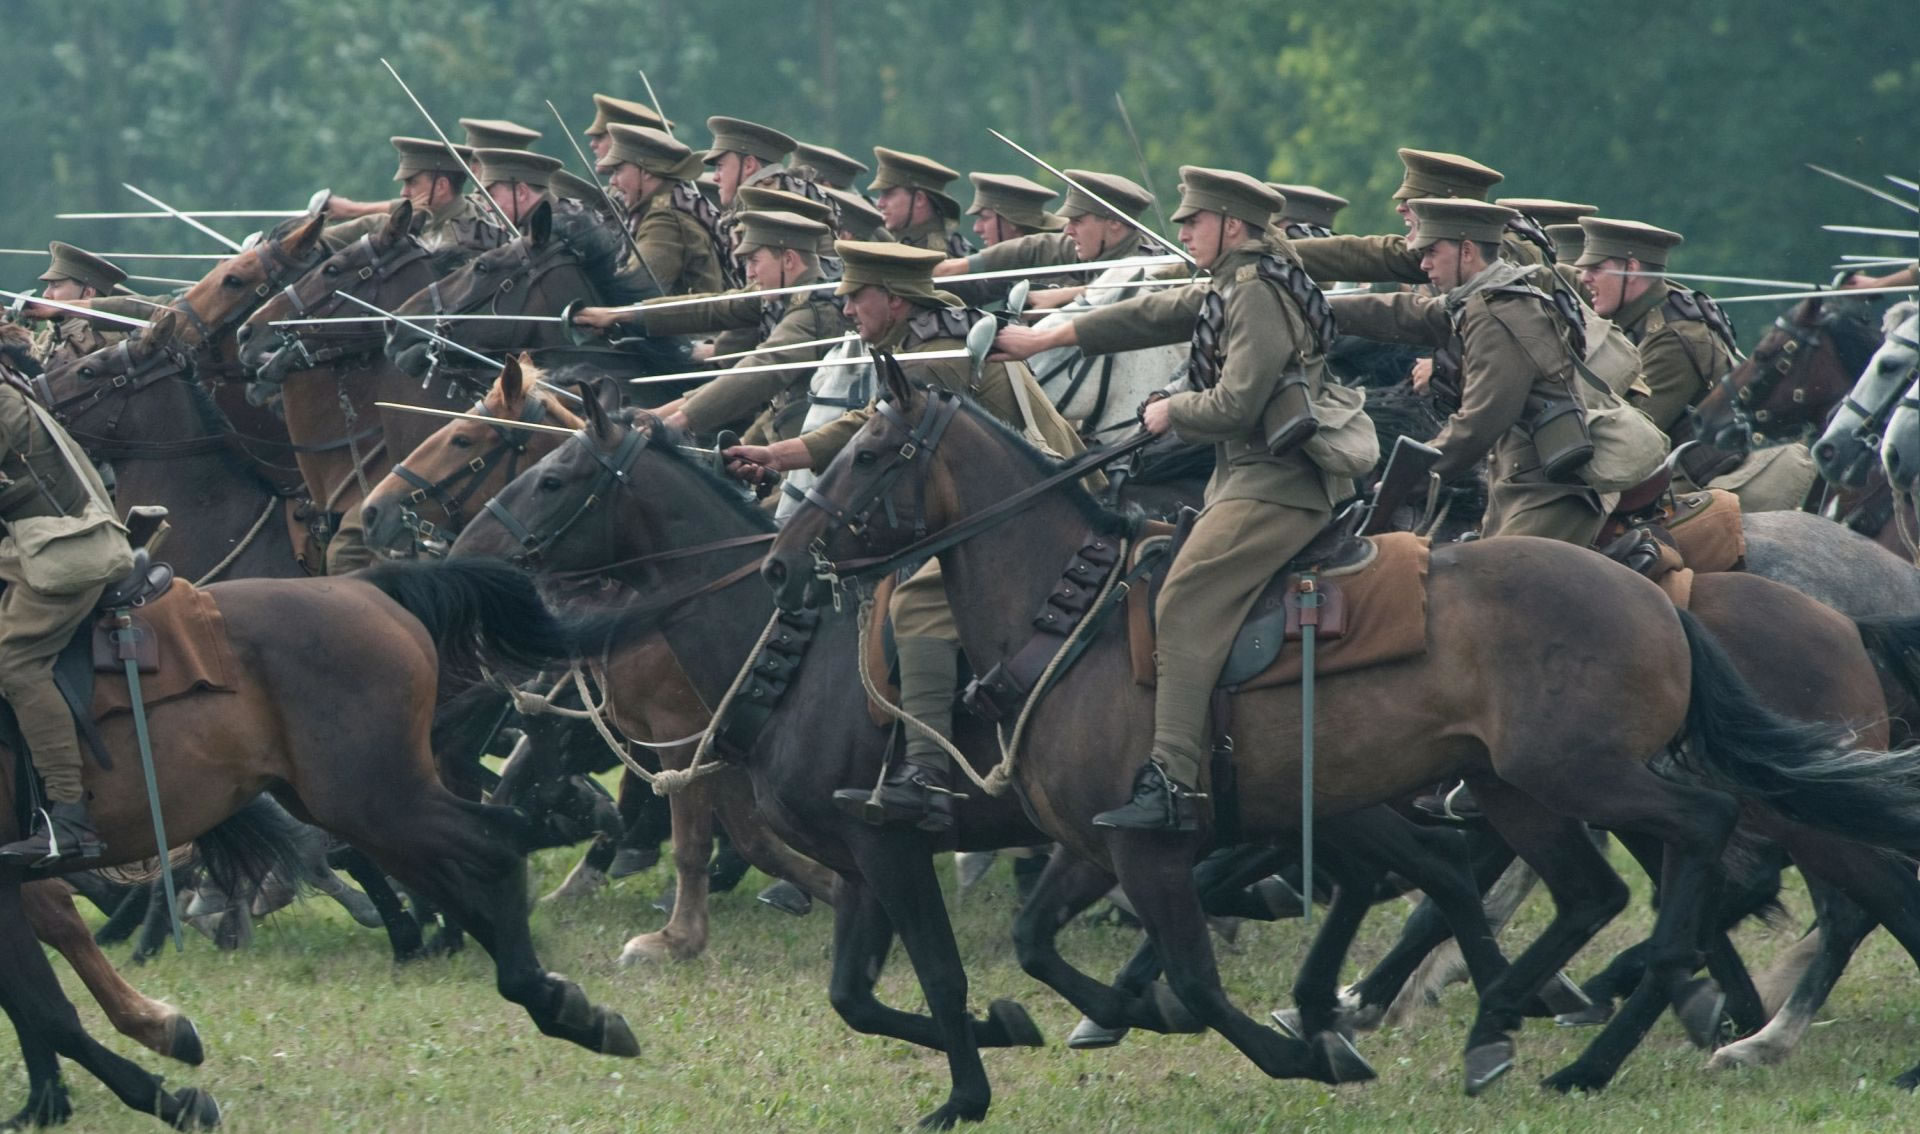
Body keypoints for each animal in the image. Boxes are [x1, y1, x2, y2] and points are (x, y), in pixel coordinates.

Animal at [0, 560, 637, 1128]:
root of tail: (361, 585)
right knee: (457, 874)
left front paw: (174, 1099)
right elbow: (36, 1001)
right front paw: (72, 1095)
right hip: (357, 808)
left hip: (377, 800)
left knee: (494, 848)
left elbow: (47, 1012)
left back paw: (547, 994)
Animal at [760, 379, 1920, 1097]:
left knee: (1718, 840)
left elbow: (1195, 979)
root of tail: (1660, 599)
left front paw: (1302, 1051)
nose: (783, 557)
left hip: (1593, 777)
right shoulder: (1101, 846)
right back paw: (1541, 1031)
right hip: (1522, 791)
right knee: (1600, 891)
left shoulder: (1151, 845)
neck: (1063, 616)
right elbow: (1046, 946)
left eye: (870, 450)